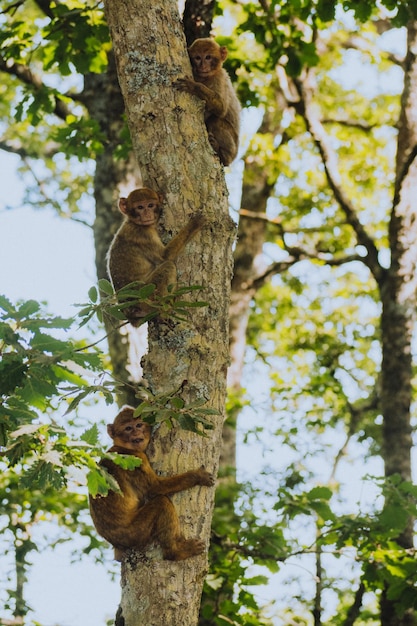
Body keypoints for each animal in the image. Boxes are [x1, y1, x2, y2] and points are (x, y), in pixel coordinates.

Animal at [90, 404, 214, 560]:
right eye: (128, 428)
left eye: (138, 425)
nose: (136, 433)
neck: (123, 447)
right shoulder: (136, 460)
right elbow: (155, 488)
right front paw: (198, 476)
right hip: (135, 532)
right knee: (162, 502)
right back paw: (175, 552)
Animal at [107, 185, 205, 322]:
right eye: (140, 207)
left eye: (150, 205)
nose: (147, 213)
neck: (133, 222)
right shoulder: (143, 234)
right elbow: (166, 256)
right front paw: (195, 224)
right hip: (147, 295)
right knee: (168, 266)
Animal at [174, 38, 240, 166]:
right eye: (198, 57)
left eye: (208, 57)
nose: (203, 65)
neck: (206, 78)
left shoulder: (219, 78)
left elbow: (221, 108)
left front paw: (194, 86)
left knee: (216, 120)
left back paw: (223, 155)